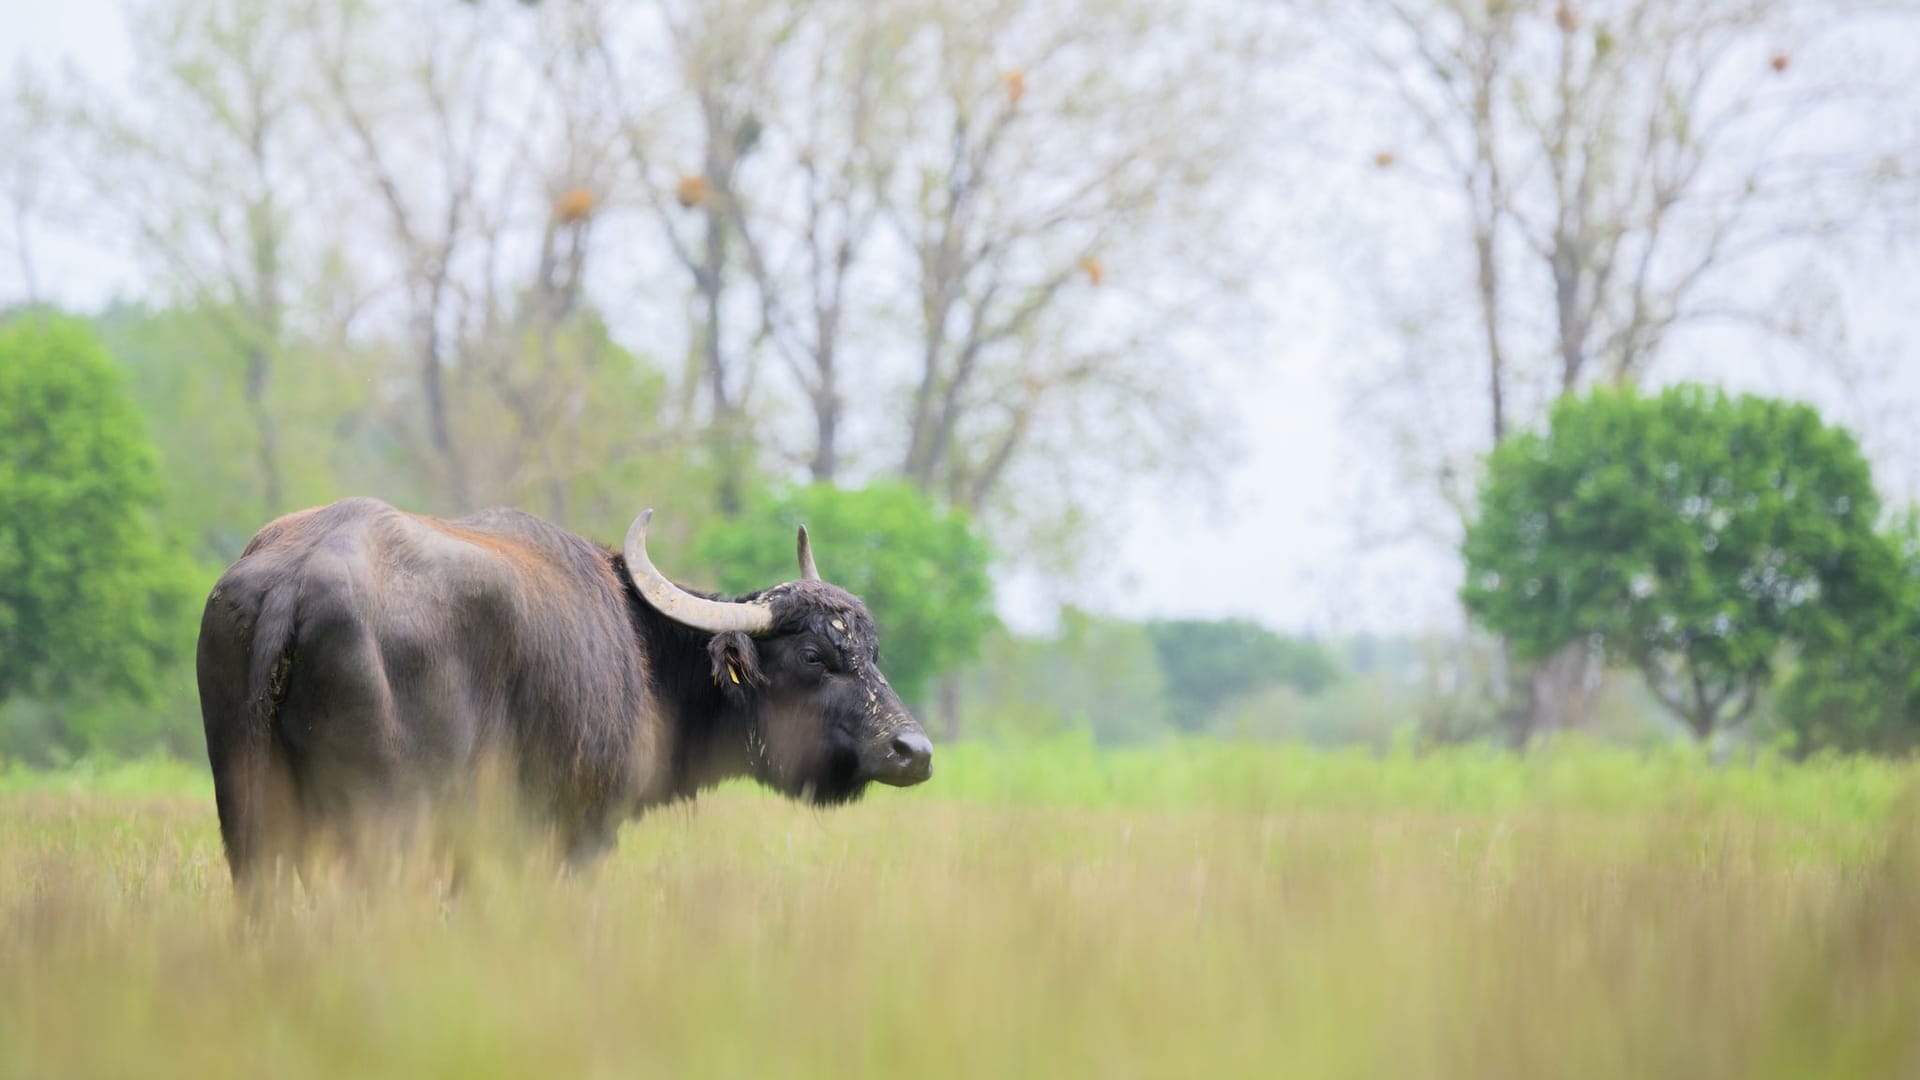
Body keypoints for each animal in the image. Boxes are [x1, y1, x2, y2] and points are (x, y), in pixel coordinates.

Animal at [198, 495, 933, 883]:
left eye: (872, 652)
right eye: (813, 654)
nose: (915, 751)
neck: (643, 651)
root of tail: (295, 578)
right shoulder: (575, 835)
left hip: (250, 825)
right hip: (381, 828)